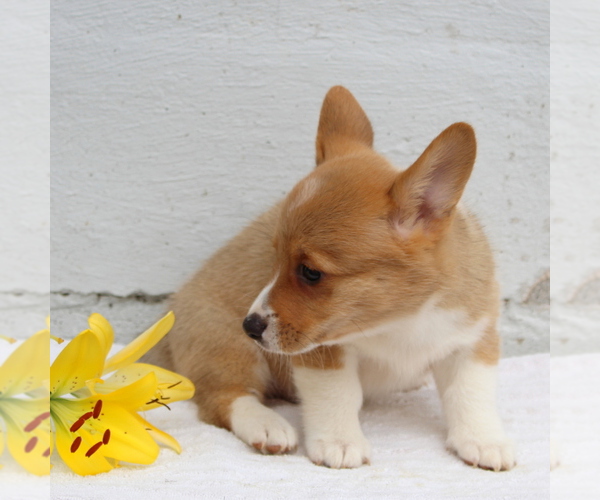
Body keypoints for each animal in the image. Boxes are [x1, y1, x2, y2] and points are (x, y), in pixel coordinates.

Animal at [156, 86, 516, 472]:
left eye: (310, 273)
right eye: (274, 257)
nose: (249, 326)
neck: (400, 319)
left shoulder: (472, 341)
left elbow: (470, 394)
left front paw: (484, 440)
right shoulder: (324, 352)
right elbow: (338, 395)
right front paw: (339, 442)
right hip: (225, 347)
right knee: (223, 398)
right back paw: (267, 425)